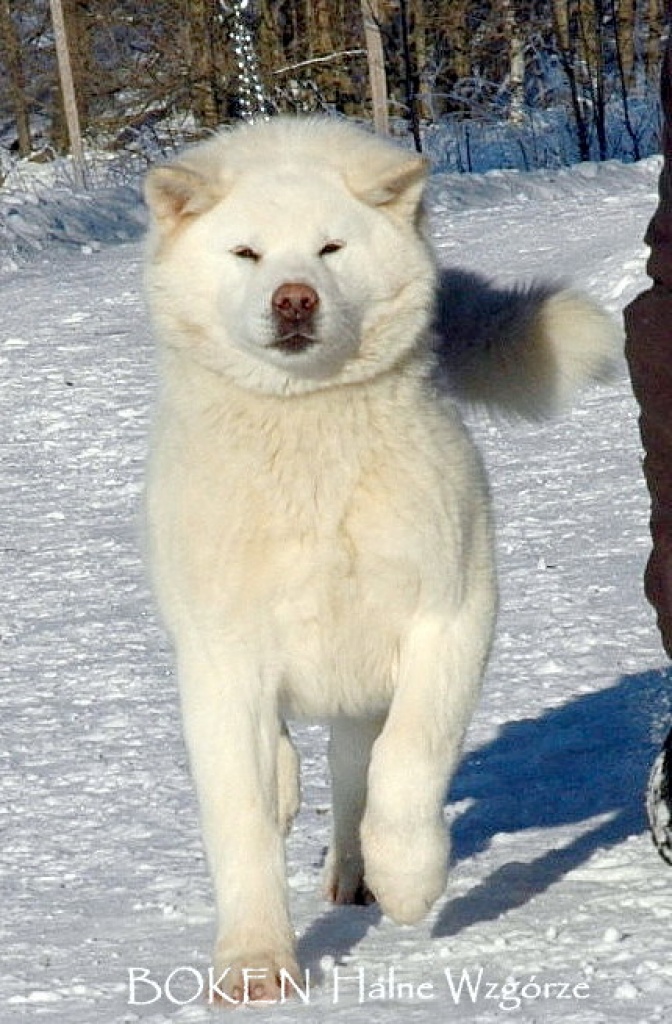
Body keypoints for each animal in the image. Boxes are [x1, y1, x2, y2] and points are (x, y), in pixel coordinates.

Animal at [143, 117, 618, 999]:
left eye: (331, 248)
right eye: (246, 253)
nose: (294, 299)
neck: (312, 444)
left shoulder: (451, 614)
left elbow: (410, 759)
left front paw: (408, 878)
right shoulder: (224, 655)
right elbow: (240, 817)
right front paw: (255, 964)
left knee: (356, 770)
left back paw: (357, 873)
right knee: (294, 764)